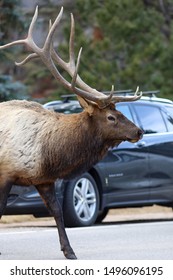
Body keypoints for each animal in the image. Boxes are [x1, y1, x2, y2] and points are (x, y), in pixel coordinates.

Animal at [0, 6, 143, 260]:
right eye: (111, 117)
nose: (139, 130)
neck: (48, 153)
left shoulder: (44, 179)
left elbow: (57, 211)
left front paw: (69, 251)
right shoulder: (5, 174)